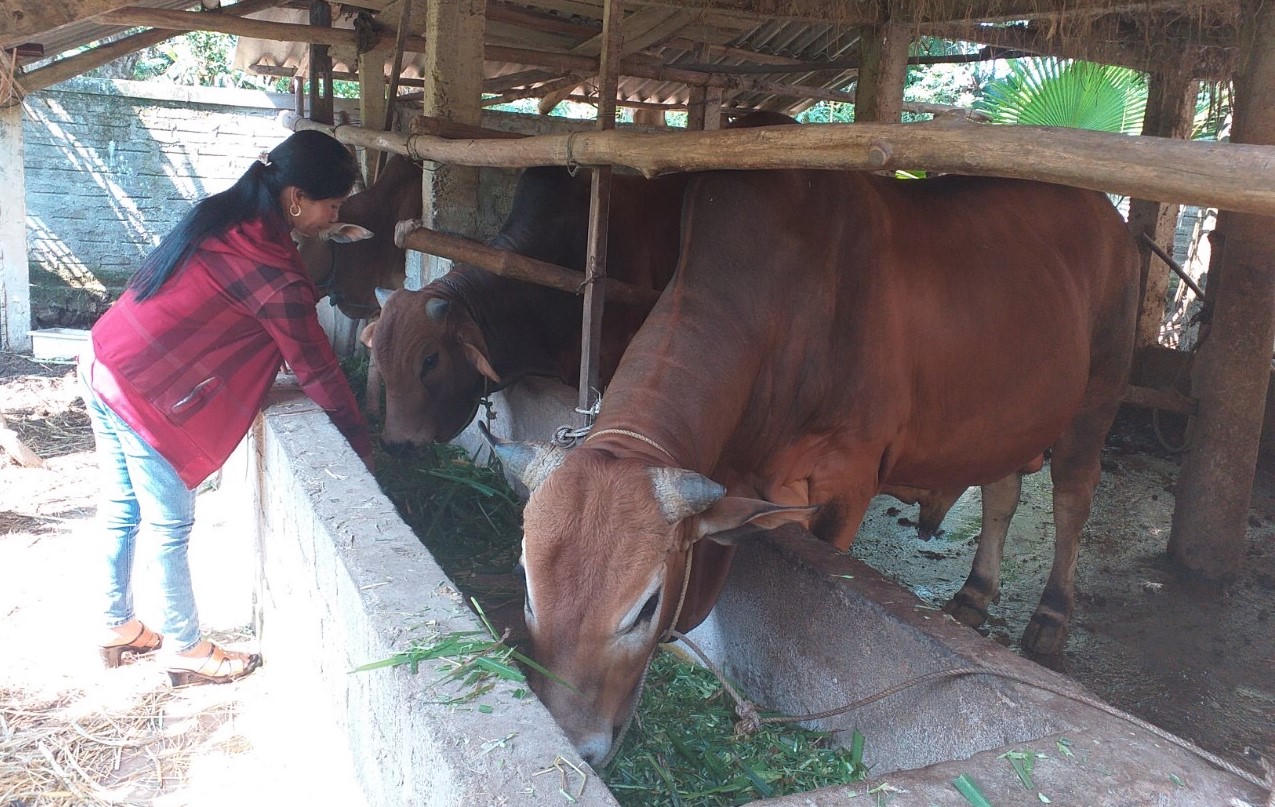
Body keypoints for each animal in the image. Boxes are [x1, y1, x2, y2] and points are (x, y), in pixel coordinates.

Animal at [488, 169, 1138, 765]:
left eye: (646, 607)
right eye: (524, 580)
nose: (577, 745)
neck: (777, 317)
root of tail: (1109, 215)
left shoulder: (843, 483)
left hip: (1098, 395)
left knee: (1074, 497)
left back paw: (1051, 617)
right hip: (1008, 420)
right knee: (1002, 491)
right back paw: (974, 595)